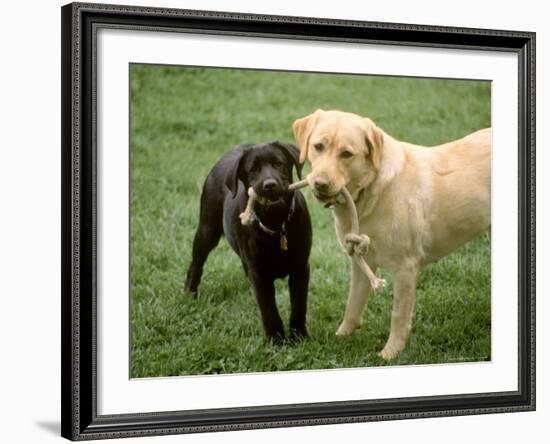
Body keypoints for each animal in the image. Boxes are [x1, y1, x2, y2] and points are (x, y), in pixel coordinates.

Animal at [185, 140, 312, 342]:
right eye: (253, 170)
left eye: (278, 163)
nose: (269, 185)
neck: (276, 224)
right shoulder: (259, 273)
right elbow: (269, 310)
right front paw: (276, 340)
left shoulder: (300, 268)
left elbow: (299, 306)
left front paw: (299, 336)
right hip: (206, 230)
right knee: (195, 265)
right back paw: (189, 296)